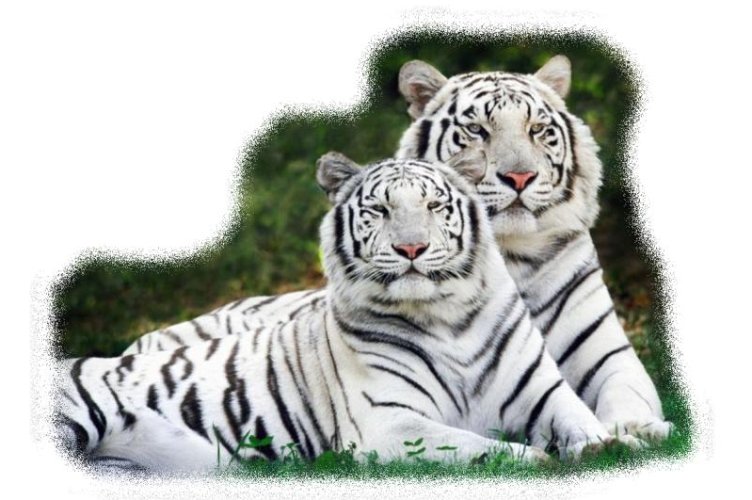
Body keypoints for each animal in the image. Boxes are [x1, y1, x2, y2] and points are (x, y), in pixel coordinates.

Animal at [56, 156, 638, 473]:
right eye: (380, 210)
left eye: (434, 207)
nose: (411, 249)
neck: (448, 317)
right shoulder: (389, 422)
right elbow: (478, 445)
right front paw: (537, 461)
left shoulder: (543, 392)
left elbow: (582, 420)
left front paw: (616, 444)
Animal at [121, 55, 671, 441]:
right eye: (477, 130)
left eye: (538, 130)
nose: (518, 177)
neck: (510, 255)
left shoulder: (608, 356)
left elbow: (629, 395)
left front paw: (639, 431)